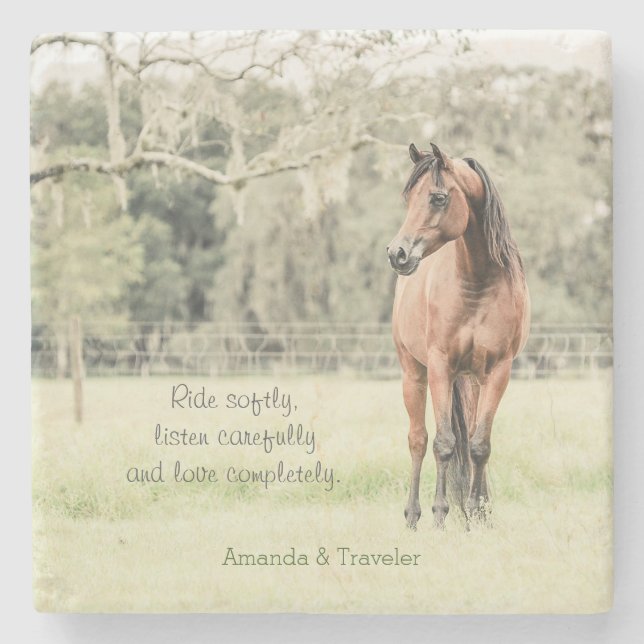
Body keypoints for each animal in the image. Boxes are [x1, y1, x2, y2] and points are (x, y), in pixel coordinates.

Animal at [387, 142, 530, 529]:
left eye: (438, 197)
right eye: (408, 197)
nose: (397, 253)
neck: (477, 282)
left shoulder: (498, 371)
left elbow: (480, 445)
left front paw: (477, 514)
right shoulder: (440, 366)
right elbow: (443, 443)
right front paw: (440, 515)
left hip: (473, 381)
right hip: (415, 374)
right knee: (418, 440)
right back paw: (412, 516)